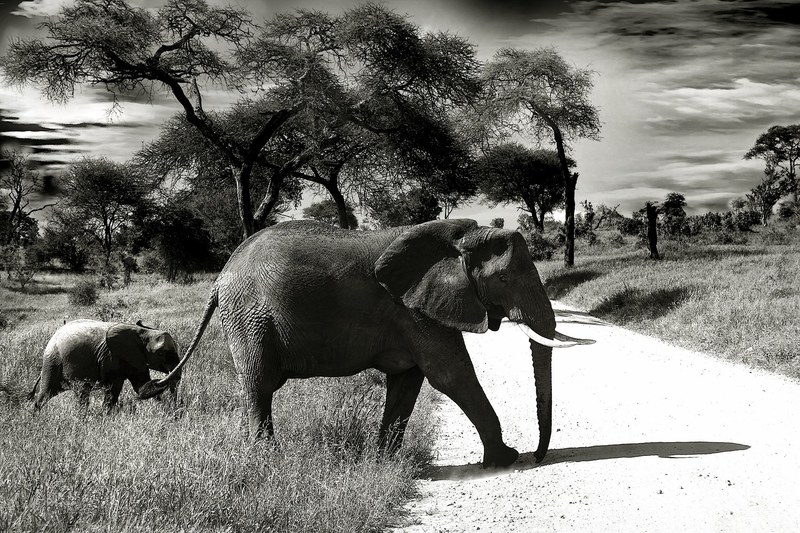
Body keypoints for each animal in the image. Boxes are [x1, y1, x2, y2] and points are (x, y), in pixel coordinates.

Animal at [30, 319, 180, 412]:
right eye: (161, 353)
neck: (142, 332)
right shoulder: (111, 357)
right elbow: (113, 389)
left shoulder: (135, 358)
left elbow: (141, 387)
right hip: (52, 360)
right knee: (49, 392)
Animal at [141, 219, 591, 467]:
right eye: (504, 279)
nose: (539, 455)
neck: (461, 237)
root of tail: (219, 279)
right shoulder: (412, 308)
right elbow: (450, 375)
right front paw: (505, 460)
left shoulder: (412, 309)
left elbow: (409, 381)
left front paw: (385, 462)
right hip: (248, 317)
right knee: (259, 384)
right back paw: (266, 458)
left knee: (257, 387)